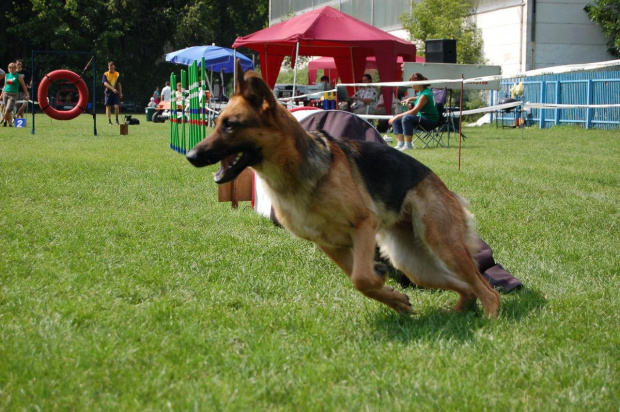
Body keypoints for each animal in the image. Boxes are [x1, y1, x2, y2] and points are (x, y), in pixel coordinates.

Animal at [186, 62, 502, 318]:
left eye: (230, 125)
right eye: (216, 123)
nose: (190, 156)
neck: (296, 173)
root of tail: (442, 184)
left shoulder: (363, 225)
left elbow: (362, 278)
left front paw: (382, 283)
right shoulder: (331, 245)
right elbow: (359, 281)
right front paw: (395, 299)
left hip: (443, 245)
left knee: (488, 289)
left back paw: (490, 321)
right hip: (414, 264)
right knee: (467, 286)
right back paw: (459, 311)